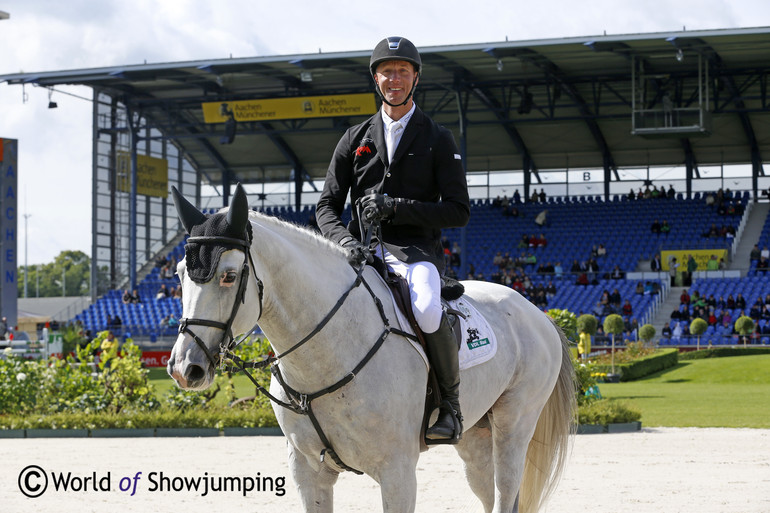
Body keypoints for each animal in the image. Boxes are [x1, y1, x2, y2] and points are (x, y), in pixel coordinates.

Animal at [170, 185, 576, 512]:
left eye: (229, 276)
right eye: (178, 274)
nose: (184, 368)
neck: (325, 357)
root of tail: (538, 312)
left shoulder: (397, 473)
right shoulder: (308, 471)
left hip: (514, 424)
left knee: (507, 489)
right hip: (475, 437)